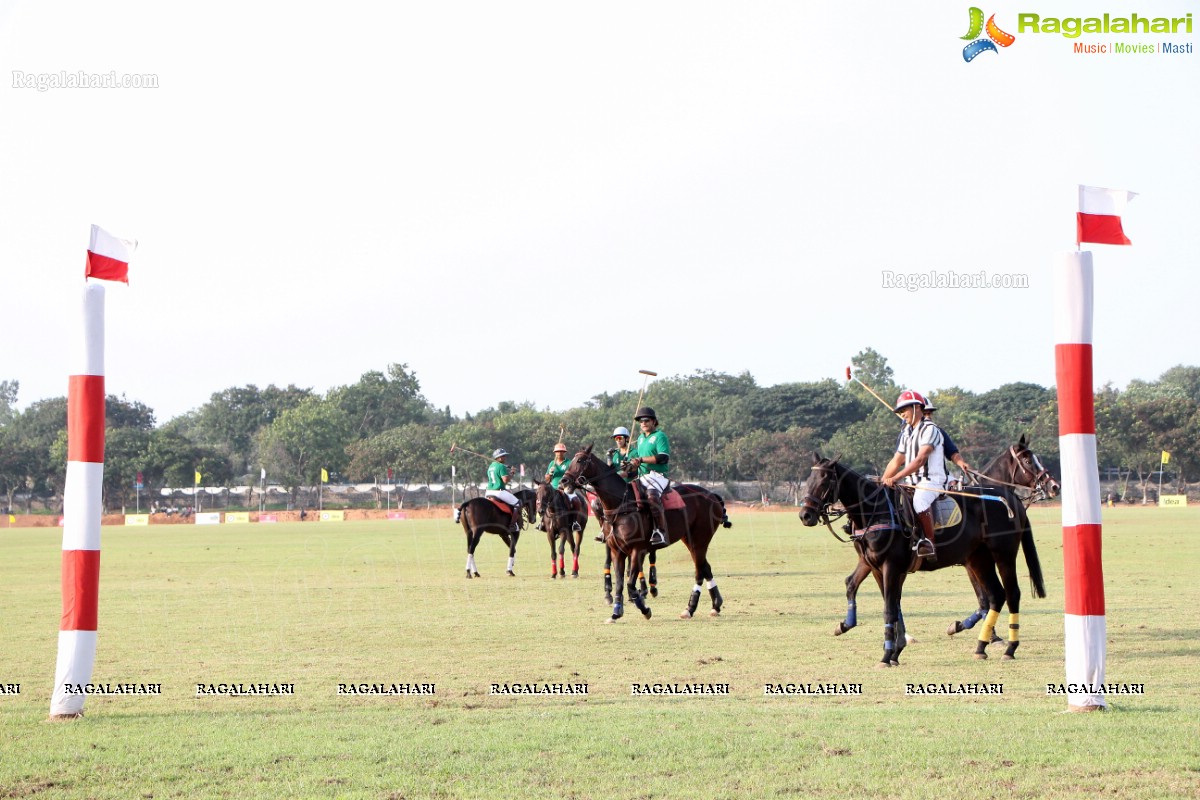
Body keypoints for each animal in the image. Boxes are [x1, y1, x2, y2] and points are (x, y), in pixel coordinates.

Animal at [561, 448, 729, 623]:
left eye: (580, 461)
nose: (564, 481)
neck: (621, 505)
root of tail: (713, 495)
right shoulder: (617, 551)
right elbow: (620, 583)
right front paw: (616, 613)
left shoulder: (638, 550)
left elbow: (630, 584)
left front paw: (645, 609)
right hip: (689, 539)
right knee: (705, 567)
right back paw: (716, 605)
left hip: (700, 539)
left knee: (699, 572)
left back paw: (689, 609)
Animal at [801, 453, 1046, 666]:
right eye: (808, 481)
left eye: (824, 481)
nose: (805, 515)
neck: (874, 510)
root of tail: (1013, 499)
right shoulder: (875, 565)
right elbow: (887, 600)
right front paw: (893, 649)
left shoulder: (891, 565)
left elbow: (889, 607)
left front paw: (887, 655)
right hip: (979, 558)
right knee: (996, 595)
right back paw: (980, 647)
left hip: (1003, 554)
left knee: (1012, 594)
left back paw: (1010, 648)